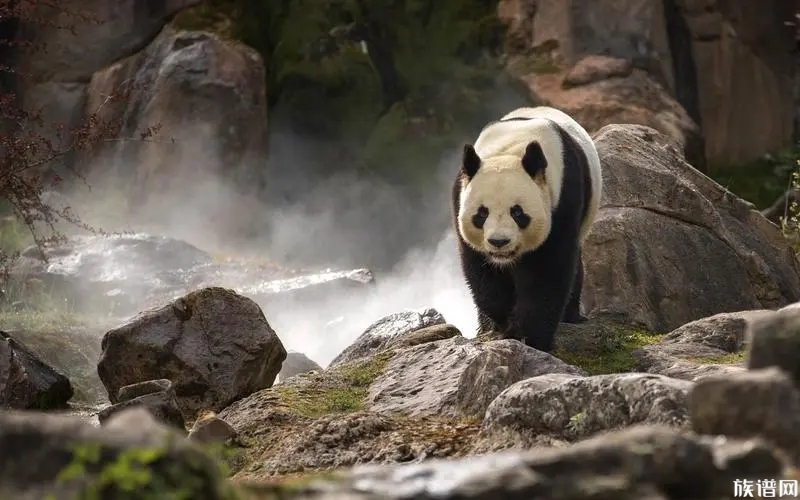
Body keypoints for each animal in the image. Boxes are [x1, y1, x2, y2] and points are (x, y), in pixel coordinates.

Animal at [450, 105, 600, 352]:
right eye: (482, 214)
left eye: (518, 213)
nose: (499, 242)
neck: (510, 149)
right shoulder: (460, 198)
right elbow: (482, 271)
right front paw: (505, 322)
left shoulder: (562, 199)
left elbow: (547, 270)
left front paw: (531, 336)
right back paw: (485, 327)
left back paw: (571, 316)